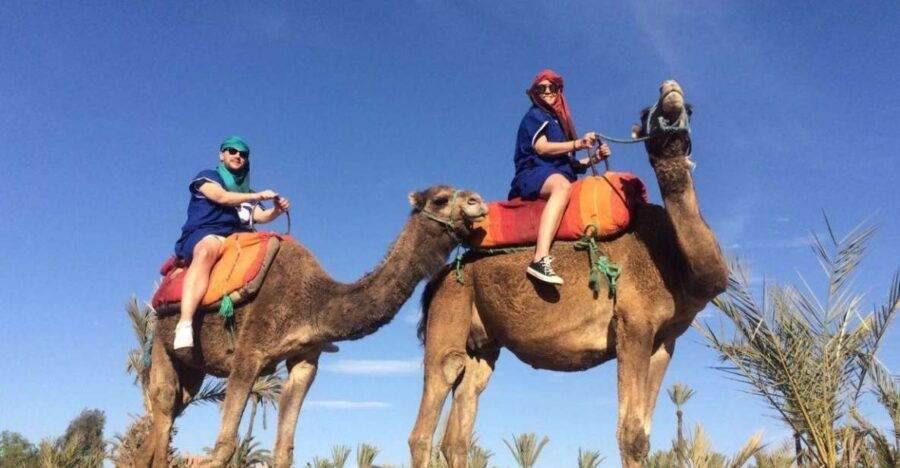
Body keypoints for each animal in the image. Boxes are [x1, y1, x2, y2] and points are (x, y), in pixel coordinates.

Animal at [136, 185, 488, 468]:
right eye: (441, 199)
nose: (478, 201)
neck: (313, 301)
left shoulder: (305, 358)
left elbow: (284, 451)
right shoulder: (250, 352)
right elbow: (224, 447)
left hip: (192, 370)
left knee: (167, 419)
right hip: (162, 342)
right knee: (164, 403)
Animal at [407, 81, 728, 468]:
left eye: (690, 109)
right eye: (643, 114)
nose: (671, 91)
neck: (673, 260)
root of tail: (436, 280)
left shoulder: (665, 339)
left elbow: (645, 435)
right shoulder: (632, 323)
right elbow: (632, 435)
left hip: (481, 342)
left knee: (458, 428)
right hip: (450, 307)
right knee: (432, 403)